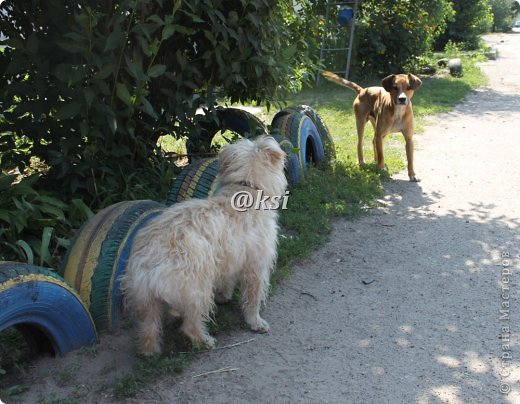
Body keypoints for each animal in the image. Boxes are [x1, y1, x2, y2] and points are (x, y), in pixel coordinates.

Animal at [120, 136, 286, 354]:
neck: (245, 188)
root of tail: (148, 261)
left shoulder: (230, 259)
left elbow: (227, 281)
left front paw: (224, 296)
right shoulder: (255, 266)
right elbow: (253, 298)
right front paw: (255, 322)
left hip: (148, 301)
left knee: (148, 329)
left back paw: (151, 350)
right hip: (197, 289)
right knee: (190, 325)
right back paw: (204, 340)